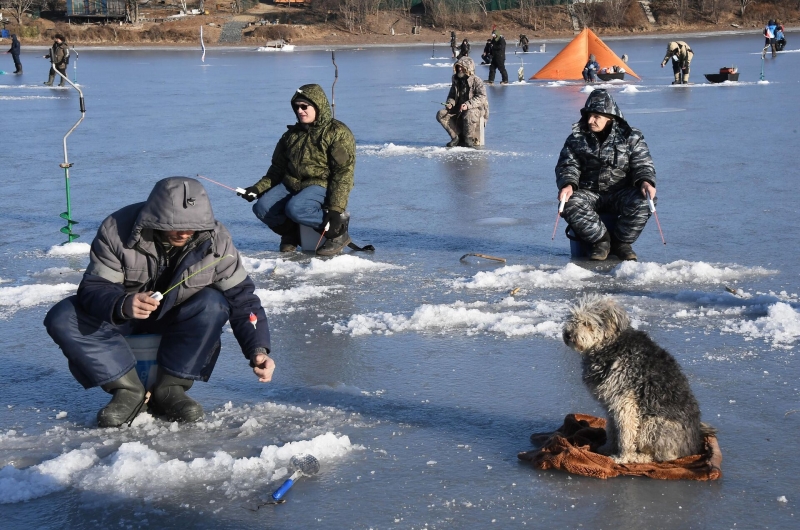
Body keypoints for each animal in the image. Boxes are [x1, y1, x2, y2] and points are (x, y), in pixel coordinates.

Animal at [564, 294, 708, 460]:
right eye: (572, 317)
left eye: (587, 323)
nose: (567, 334)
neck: (611, 345)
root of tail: (692, 448)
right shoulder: (611, 404)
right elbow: (613, 429)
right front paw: (608, 448)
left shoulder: (625, 403)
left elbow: (626, 434)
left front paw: (622, 457)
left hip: (652, 425)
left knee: (662, 457)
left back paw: (638, 457)